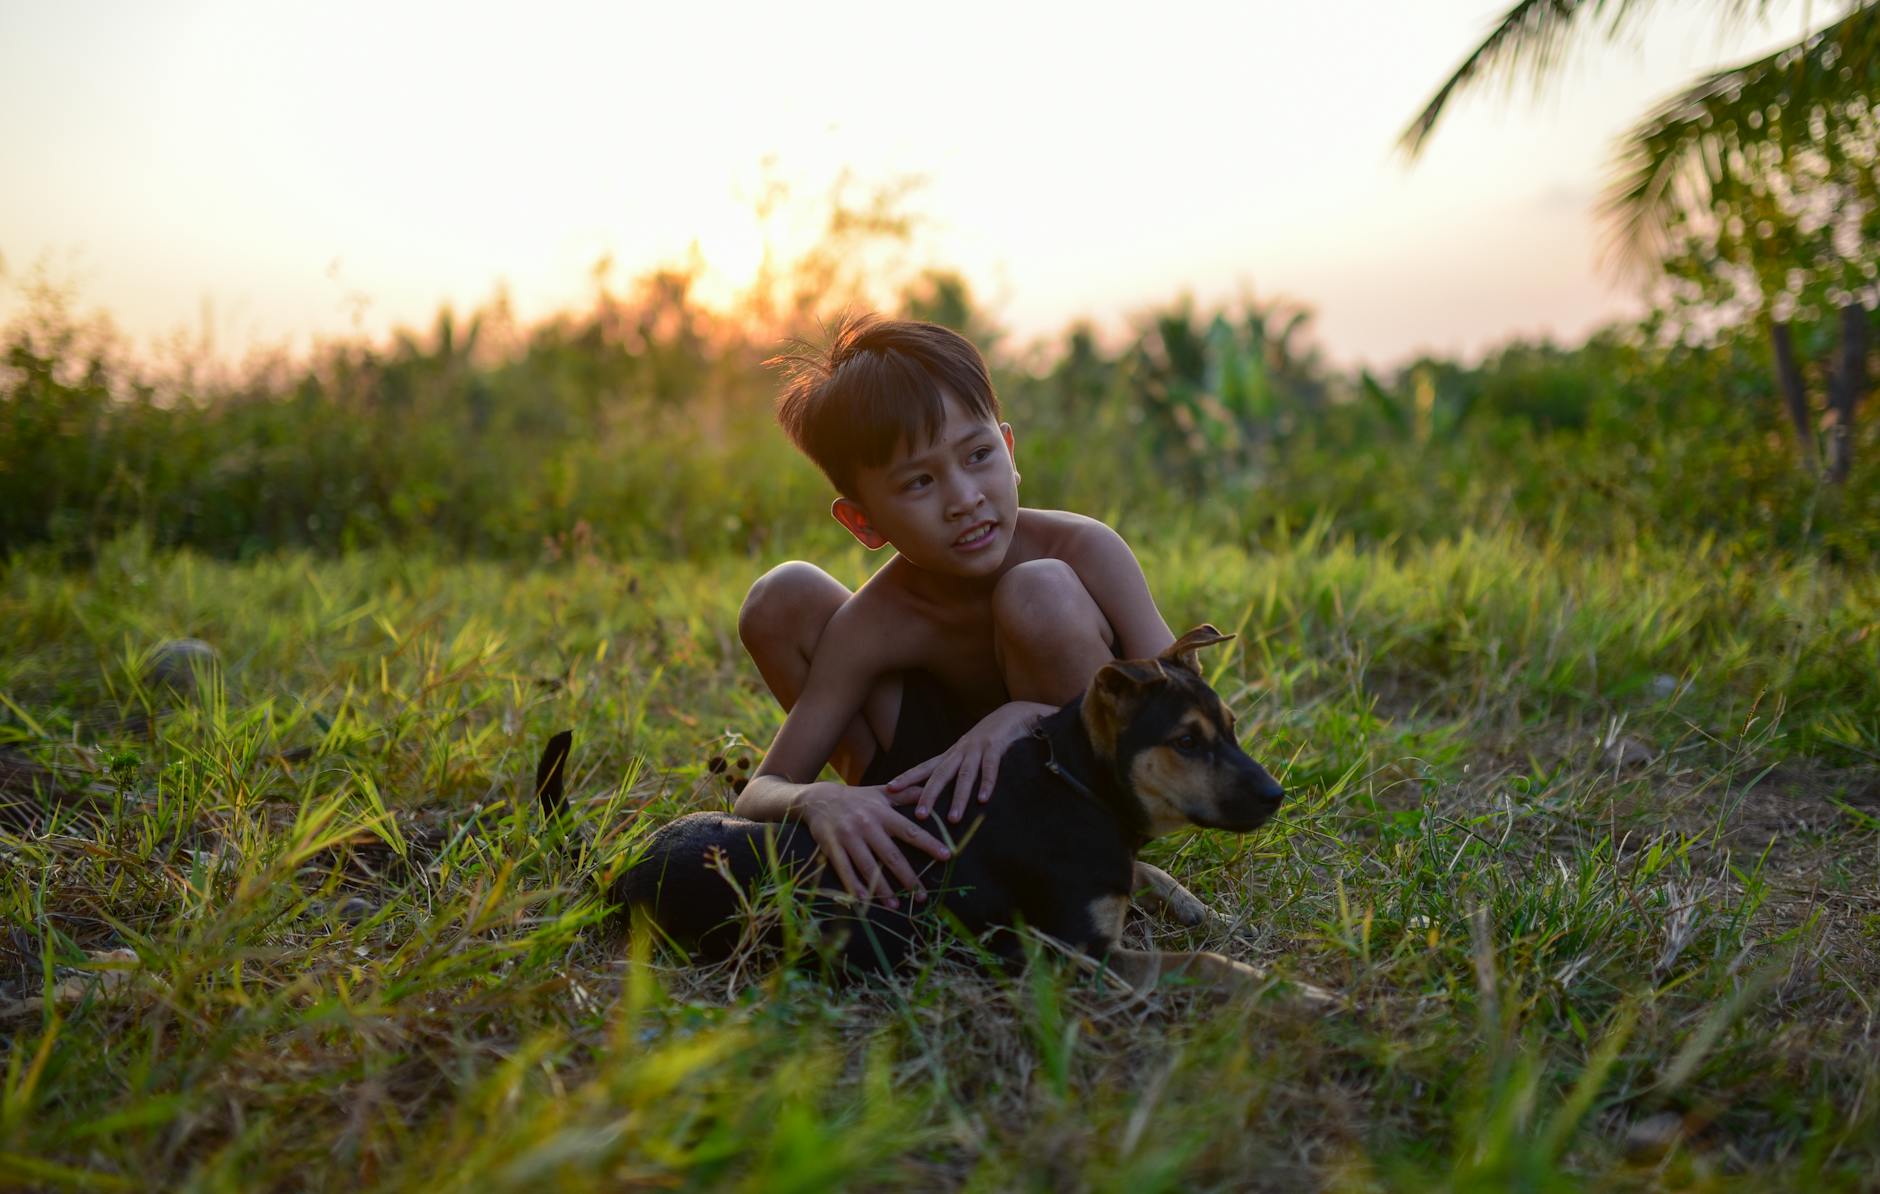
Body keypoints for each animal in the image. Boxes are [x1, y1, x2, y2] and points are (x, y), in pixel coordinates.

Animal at [545, 620, 1300, 992]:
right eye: (1186, 742)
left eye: (1233, 727)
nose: (1277, 797)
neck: (1078, 782)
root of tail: (617, 868)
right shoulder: (1072, 957)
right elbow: (1202, 966)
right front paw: (1294, 994)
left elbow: (1153, 875)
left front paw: (1201, 909)